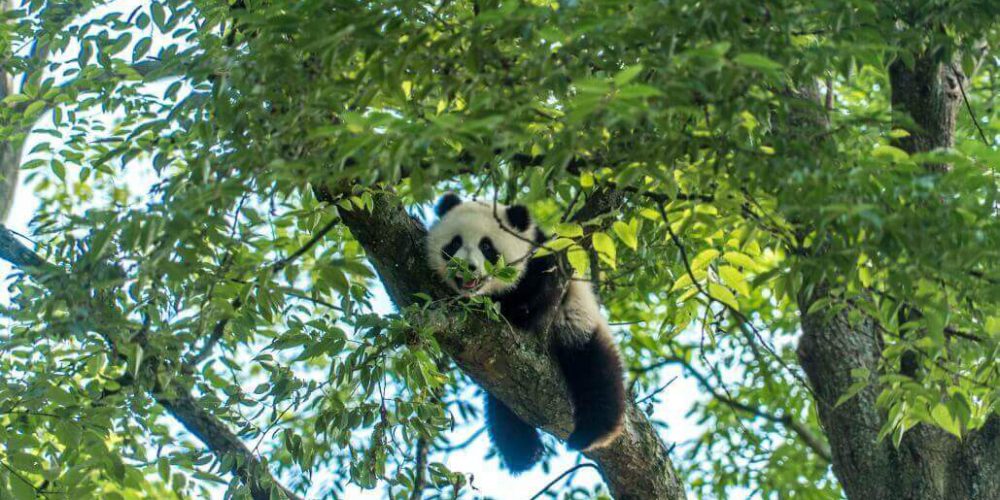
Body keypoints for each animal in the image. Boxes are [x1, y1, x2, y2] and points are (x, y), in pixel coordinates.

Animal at [426, 193, 628, 474]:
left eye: (487, 247)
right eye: (454, 243)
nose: (466, 268)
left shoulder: (546, 265)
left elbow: (536, 292)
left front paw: (514, 306)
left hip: (577, 325)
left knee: (595, 370)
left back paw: (591, 433)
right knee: (504, 402)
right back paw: (523, 452)